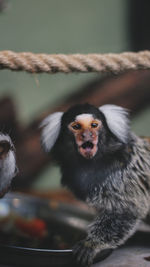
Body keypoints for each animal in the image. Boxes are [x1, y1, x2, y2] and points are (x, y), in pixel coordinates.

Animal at [40, 103, 150, 266]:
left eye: (94, 125)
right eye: (76, 126)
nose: (87, 136)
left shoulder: (123, 172)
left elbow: (125, 210)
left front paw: (92, 243)